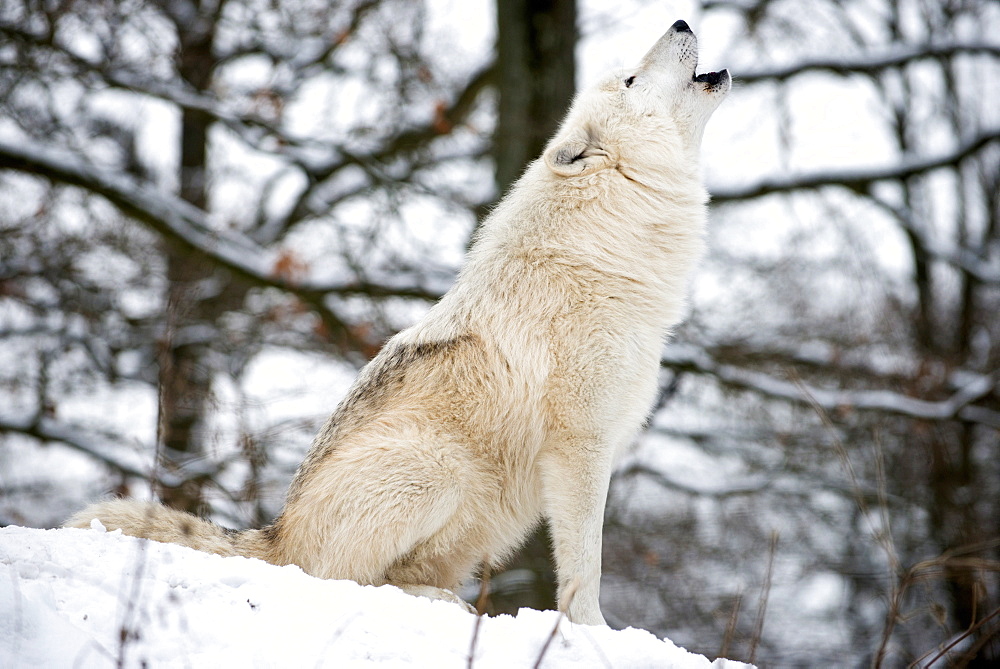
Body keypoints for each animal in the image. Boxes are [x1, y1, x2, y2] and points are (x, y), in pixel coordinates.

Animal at [66, 20, 732, 628]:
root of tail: (275, 535)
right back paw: (441, 604)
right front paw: (593, 633)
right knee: (345, 579)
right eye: (631, 79)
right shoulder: (581, 447)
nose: (680, 21)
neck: (606, 249)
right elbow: (585, 567)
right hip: (434, 470)